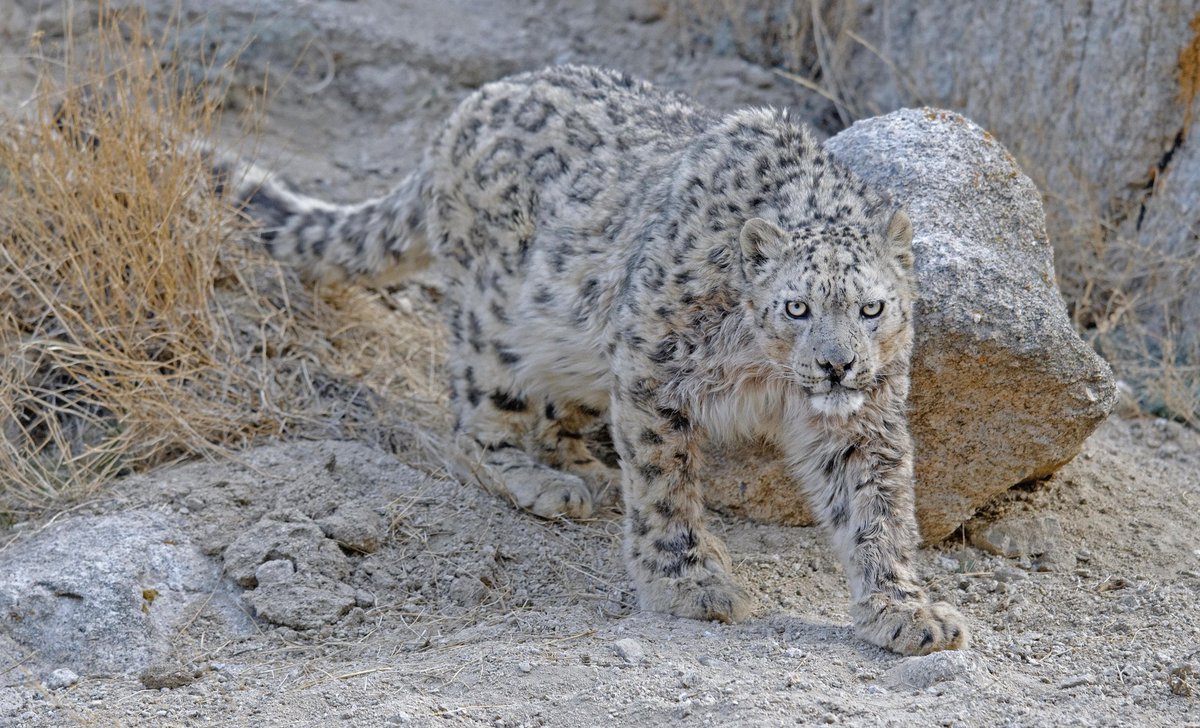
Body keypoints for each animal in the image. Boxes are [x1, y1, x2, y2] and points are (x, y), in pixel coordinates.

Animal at [216, 64, 969, 656]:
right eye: (796, 307)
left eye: (871, 308)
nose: (838, 367)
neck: (768, 373)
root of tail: (466, 109)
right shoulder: (654, 371)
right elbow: (666, 482)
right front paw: (688, 582)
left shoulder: (864, 420)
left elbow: (878, 511)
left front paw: (907, 612)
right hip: (500, 326)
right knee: (473, 421)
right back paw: (539, 480)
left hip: (579, 347)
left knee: (561, 414)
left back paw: (587, 469)